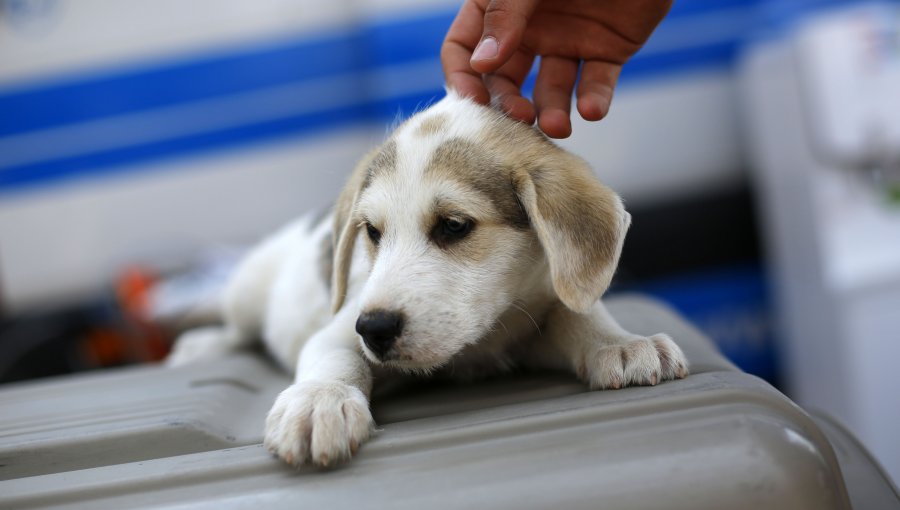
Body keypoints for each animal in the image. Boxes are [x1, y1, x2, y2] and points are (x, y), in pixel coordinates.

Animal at [167, 90, 688, 466]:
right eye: (372, 232)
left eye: (453, 226)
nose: (374, 330)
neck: (478, 343)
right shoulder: (339, 329)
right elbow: (335, 359)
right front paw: (319, 401)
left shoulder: (536, 309)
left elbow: (575, 316)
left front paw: (619, 344)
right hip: (246, 292)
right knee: (238, 329)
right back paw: (203, 345)